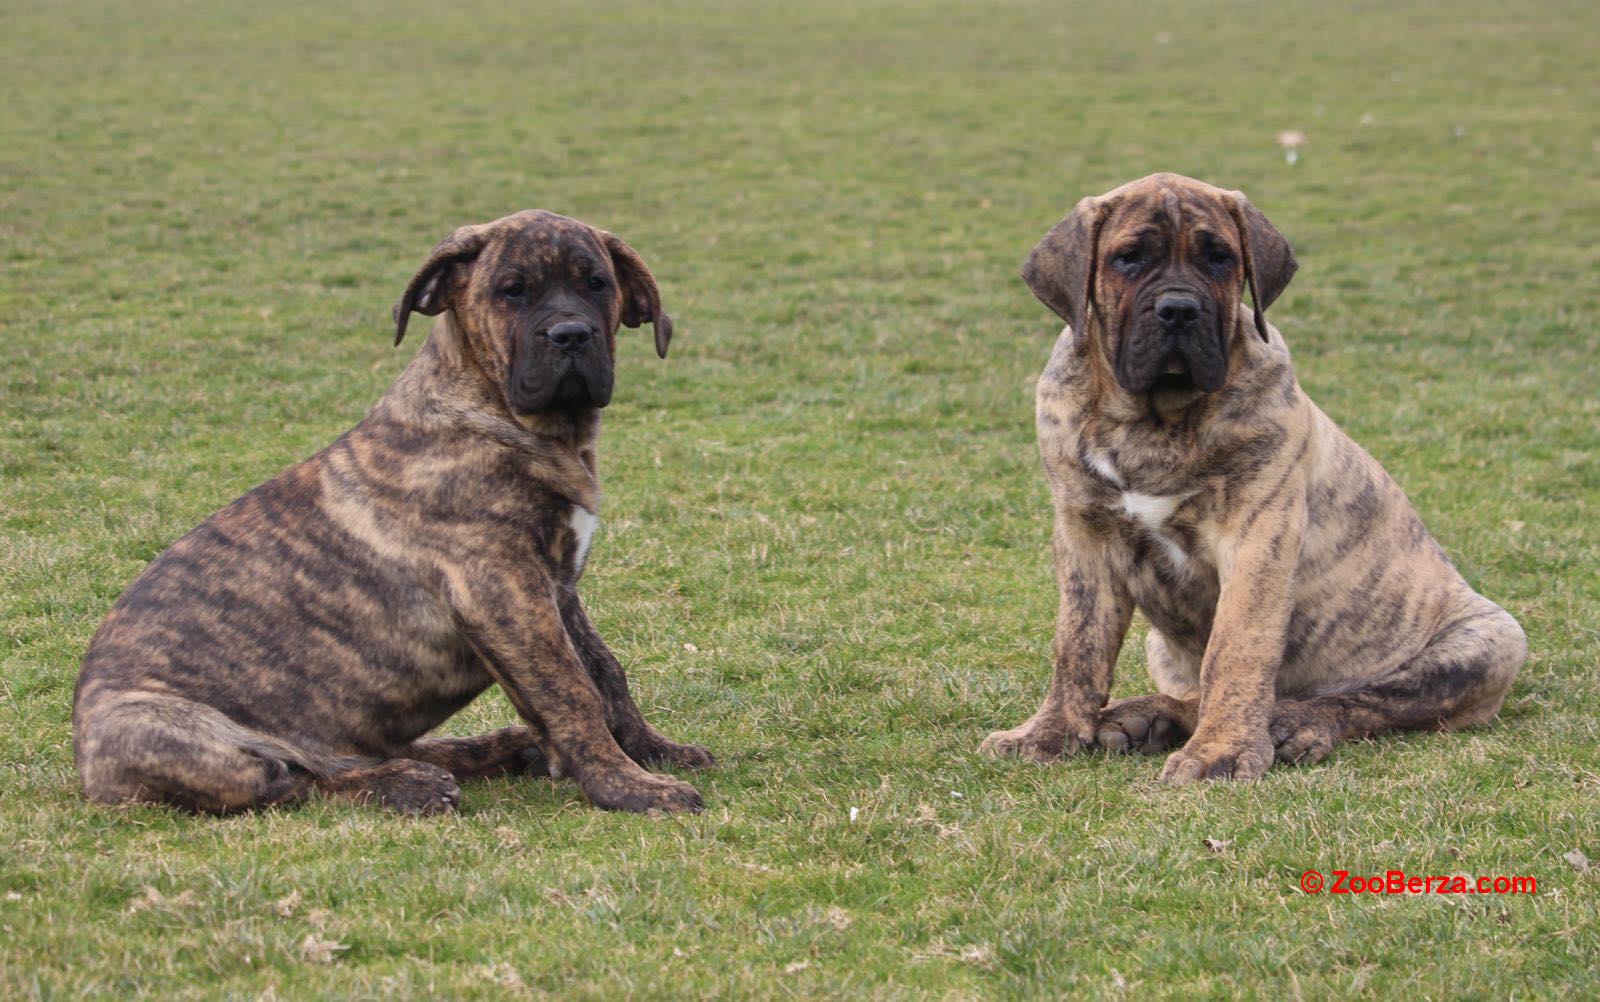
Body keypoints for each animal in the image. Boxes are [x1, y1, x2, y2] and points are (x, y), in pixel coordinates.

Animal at [75, 208, 713, 813]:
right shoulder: (502, 590)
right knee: (298, 777)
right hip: (165, 729)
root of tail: (83, 760)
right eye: (511, 290)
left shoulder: (556, 588)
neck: (506, 415)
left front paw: (655, 751)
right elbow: (571, 690)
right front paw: (627, 787)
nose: (571, 335)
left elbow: (605, 672)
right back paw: (408, 785)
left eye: (597, 284)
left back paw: (495, 749)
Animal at [979, 171, 1529, 781]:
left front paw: (1222, 752)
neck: (1155, 420)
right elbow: (1077, 647)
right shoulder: (1084, 536)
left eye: (1220, 258)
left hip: (1491, 640)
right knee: (1192, 694)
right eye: (1128, 258)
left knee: (1363, 701)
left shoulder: (1257, 537)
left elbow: (1237, 648)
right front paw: (1047, 734)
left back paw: (1292, 722)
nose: (1179, 309)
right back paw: (1147, 718)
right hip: (1158, 646)